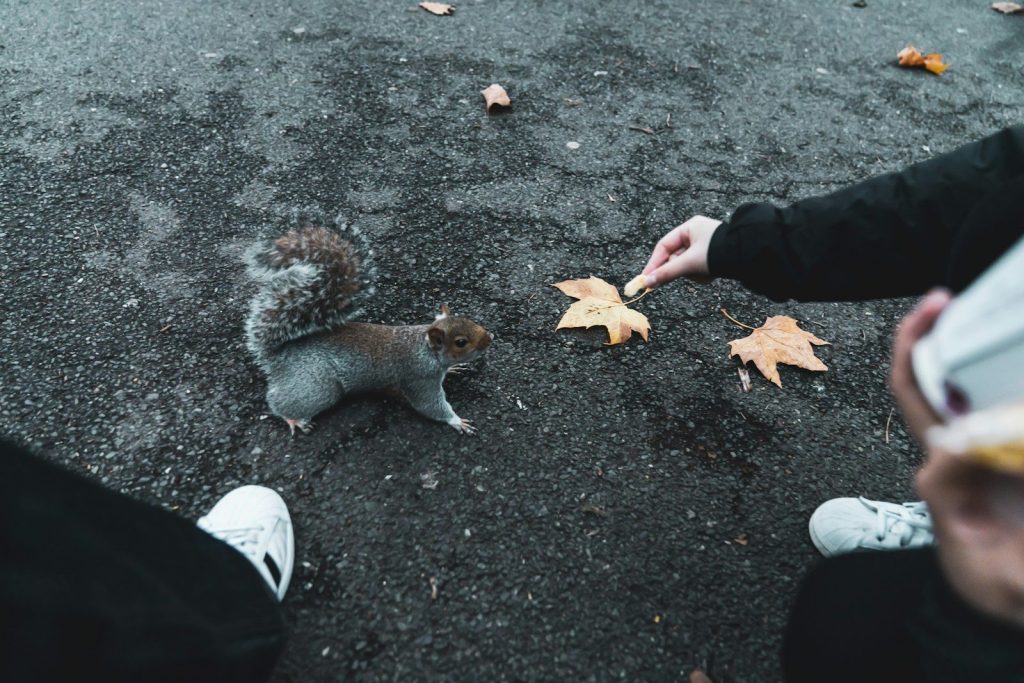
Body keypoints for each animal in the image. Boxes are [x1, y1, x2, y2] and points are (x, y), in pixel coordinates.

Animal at [244, 218, 493, 435]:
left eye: (469, 319)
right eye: (461, 342)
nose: (489, 337)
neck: (424, 348)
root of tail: (279, 357)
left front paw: (454, 368)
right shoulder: (419, 377)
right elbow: (429, 405)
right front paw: (456, 421)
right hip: (316, 387)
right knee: (279, 402)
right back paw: (293, 419)